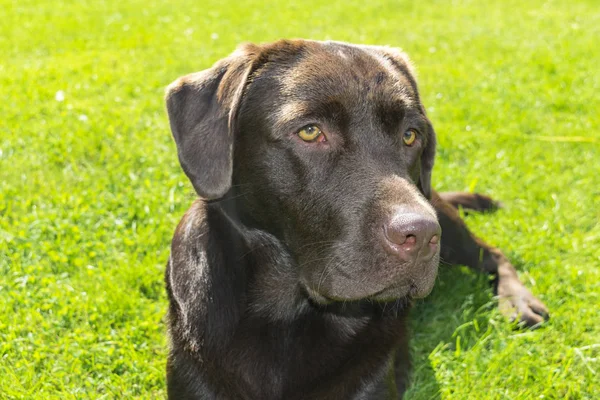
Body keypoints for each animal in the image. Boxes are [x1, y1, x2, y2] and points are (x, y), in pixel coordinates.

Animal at [163, 39, 548, 398]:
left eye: (411, 135)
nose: (422, 235)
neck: (285, 313)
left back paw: (519, 303)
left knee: (492, 254)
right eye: (310, 131)